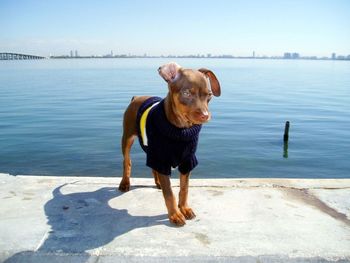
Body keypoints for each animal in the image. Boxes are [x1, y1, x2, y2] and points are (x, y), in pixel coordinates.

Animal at [119, 62, 220, 227]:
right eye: (186, 93)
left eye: (209, 95)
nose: (205, 116)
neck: (180, 130)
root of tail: (137, 97)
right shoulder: (162, 158)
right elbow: (169, 193)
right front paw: (175, 214)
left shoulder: (187, 160)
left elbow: (184, 188)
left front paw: (184, 208)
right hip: (127, 138)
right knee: (127, 161)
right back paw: (125, 183)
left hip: (151, 148)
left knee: (152, 166)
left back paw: (157, 182)